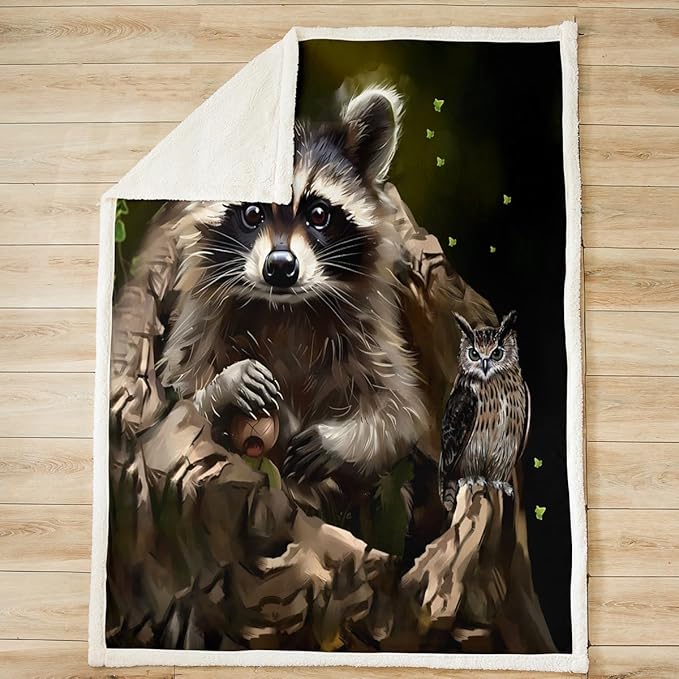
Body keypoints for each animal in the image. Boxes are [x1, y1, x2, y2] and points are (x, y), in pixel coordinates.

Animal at [157, 87, 430, 513]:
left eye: (319, 214)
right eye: (253, 212)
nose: (281, 267)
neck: (286, 308)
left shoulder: (371, 336)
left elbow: (401, 417)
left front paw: (340, 442)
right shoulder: (201, 324)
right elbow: (182, 401)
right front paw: (226, 385)